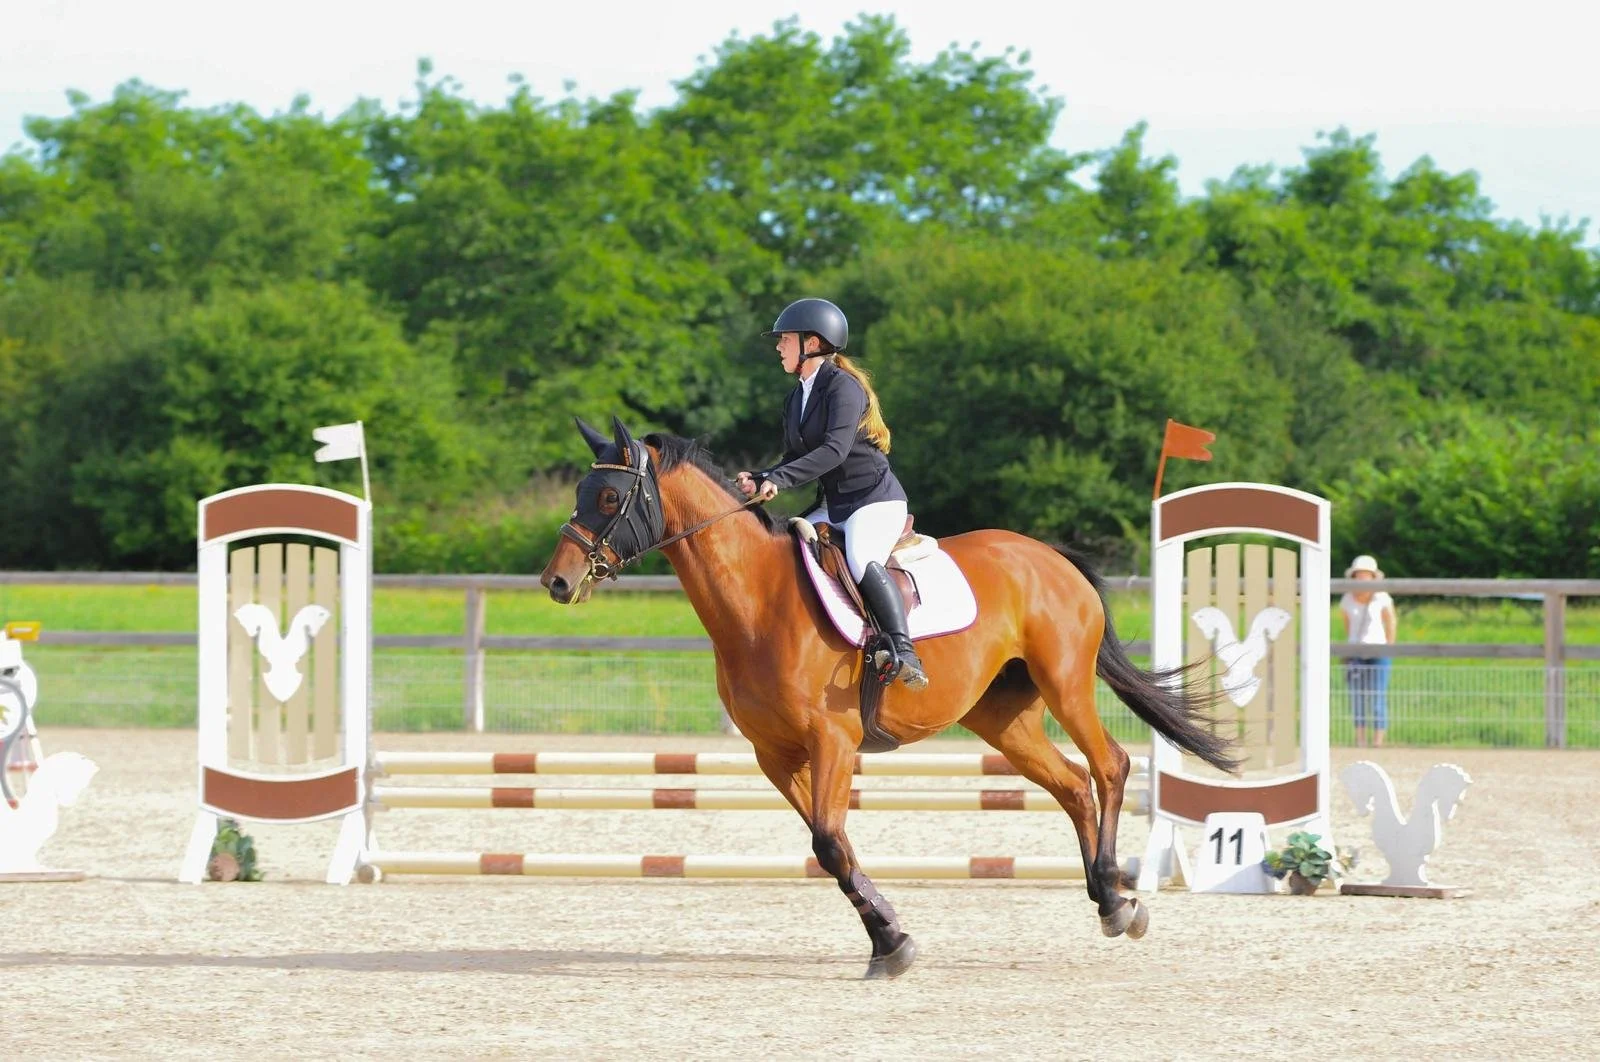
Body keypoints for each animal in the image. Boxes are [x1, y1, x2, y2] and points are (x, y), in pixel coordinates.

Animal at [539, 415, 1240, 979]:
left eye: (610, 496)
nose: (556, 582)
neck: (757, 601)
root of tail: (1051, 557)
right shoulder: (776, 755)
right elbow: (835, 847)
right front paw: (889, 938)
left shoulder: (832, 740)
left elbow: (828, 842)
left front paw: (891, 943)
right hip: (1003, 719)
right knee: (1071, 784)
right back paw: (1105, 895)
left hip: (1065, 683)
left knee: (1108, 766)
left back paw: (1120, 903)